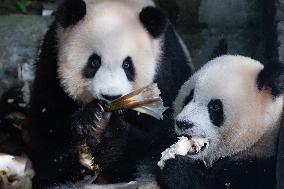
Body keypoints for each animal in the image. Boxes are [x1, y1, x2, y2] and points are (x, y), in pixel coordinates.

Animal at [24, 0, 193, 187]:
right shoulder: (51, 60)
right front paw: (90, 119)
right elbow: (48, 126)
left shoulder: (167, 70)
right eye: (94, 62)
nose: (111, 96)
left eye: (127, 65)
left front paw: (103, 128)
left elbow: (155, 142)